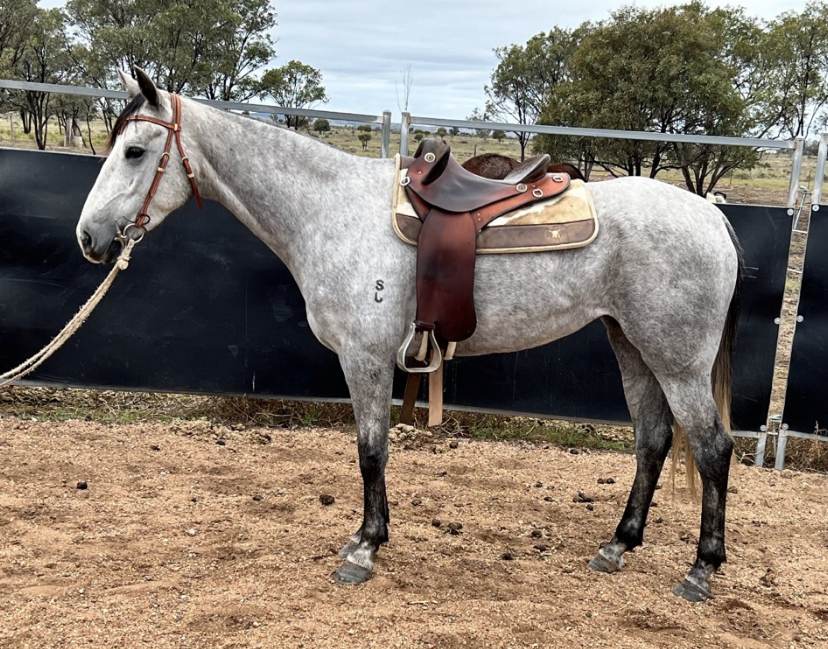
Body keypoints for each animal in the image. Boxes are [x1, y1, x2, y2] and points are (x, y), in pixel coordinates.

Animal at [77, 69, 743, 602]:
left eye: (134, 151)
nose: (89, 237)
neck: (330, 210)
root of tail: (712, 215)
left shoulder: (365, 358)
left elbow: (371, 451)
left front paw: (365, 549)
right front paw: (368, 537)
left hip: (677, 361)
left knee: (713, 449)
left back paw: (701, 570)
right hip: (632, 345)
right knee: (653, 441)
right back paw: (618, 546)